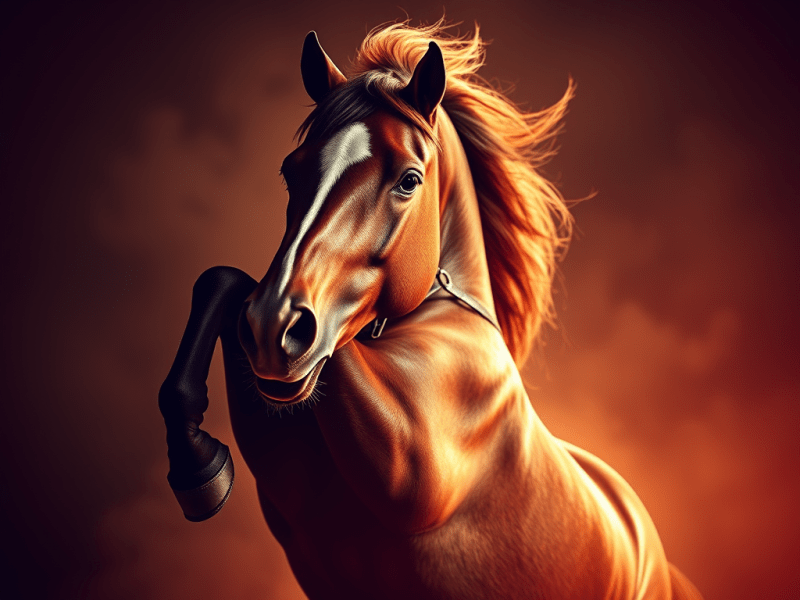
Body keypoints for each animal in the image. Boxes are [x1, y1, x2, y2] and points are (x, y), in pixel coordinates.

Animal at [158, 21, 703, 600]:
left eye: (409, 180)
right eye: (290, 171)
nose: (272, 330)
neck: (436, 325)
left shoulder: (411, 472)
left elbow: (296, 324)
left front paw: (198, 466)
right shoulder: (295, 495)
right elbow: (224, 280)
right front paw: (199, 468)